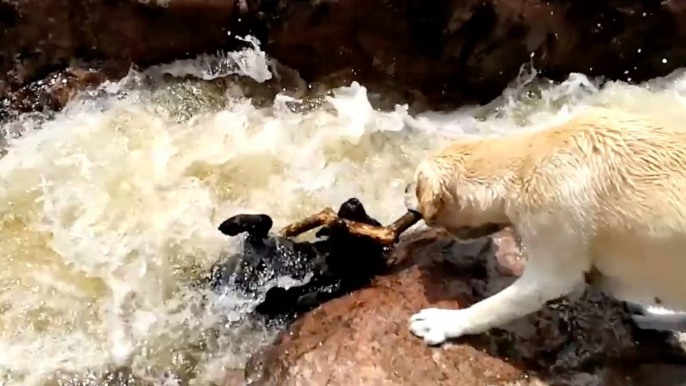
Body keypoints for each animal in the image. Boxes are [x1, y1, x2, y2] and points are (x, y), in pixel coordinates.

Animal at [406, 107, 686, 346]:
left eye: (416, 184)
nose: (406, 189)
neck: (527, 160)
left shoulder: (556, 216)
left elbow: (528, 291)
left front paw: (440, 321)